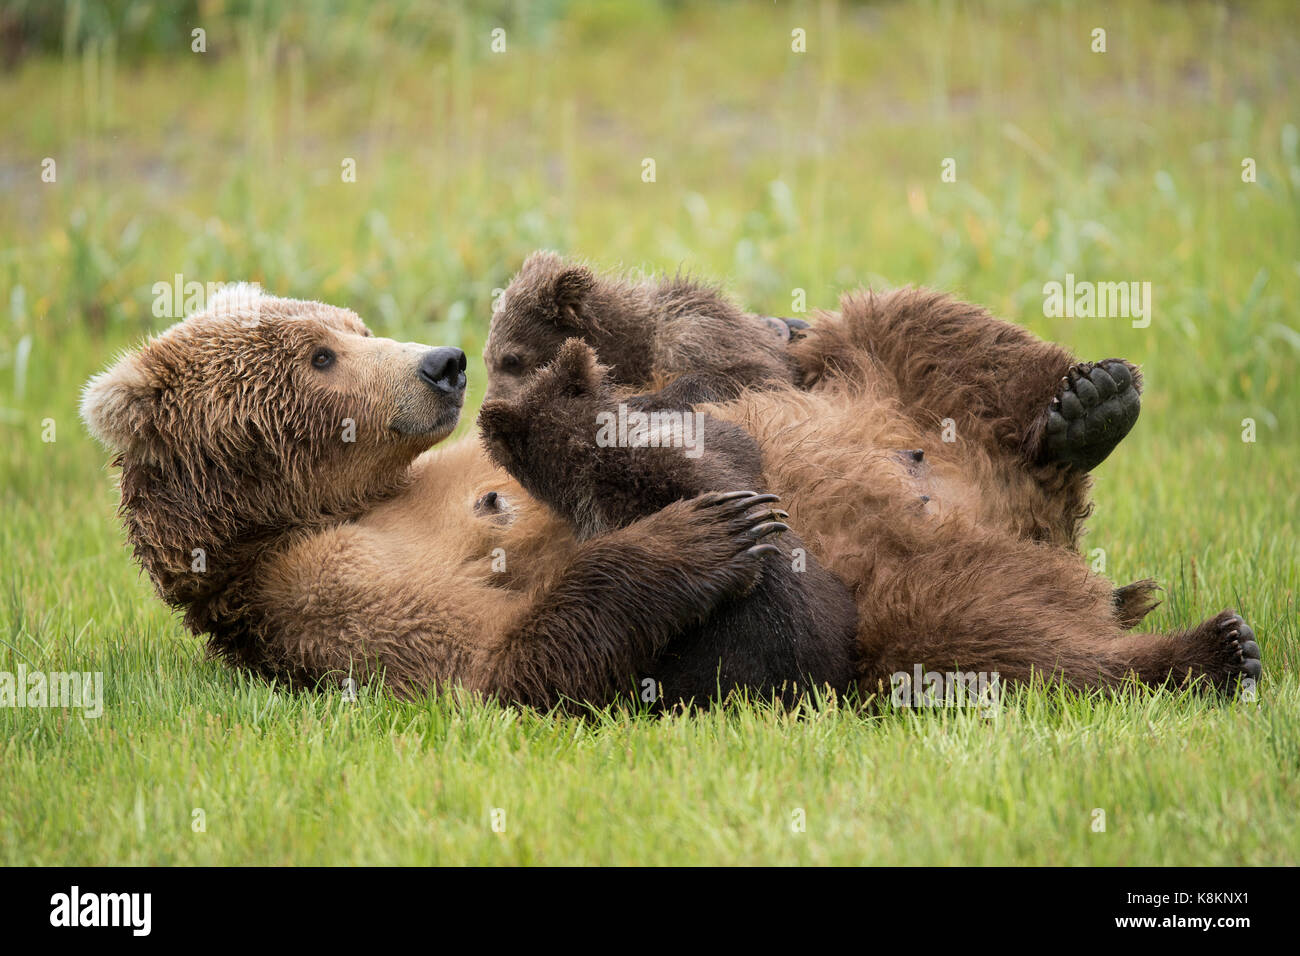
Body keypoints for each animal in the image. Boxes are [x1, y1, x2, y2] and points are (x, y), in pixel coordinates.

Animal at [81, 280, 1258, 707]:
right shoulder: (315, 590)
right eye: (324, 353)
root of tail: (1029, 526)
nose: (442, 363)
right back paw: (1207, 651)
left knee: (906, 325)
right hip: (924, 604)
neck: (349, 501)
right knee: (1010, 645)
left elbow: (702, 366)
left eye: (350, 326)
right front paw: (702, 531)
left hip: (896, 396)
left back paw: (1088, 405)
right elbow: (501, 666)